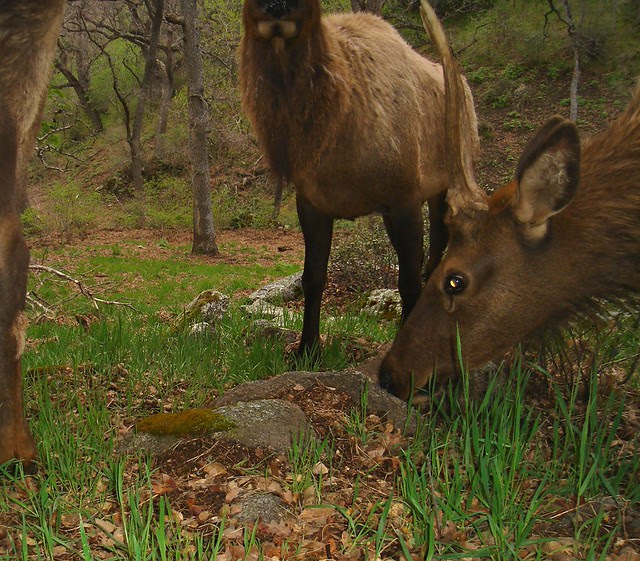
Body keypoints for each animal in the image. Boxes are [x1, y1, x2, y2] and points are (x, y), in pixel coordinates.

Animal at [238, 0, 480, 356]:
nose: (278, 7)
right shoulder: (312, 203)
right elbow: (313, 278)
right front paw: (307, 348)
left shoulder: (405, 199)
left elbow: (408, 282)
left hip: (446, 183)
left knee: (436, 254)